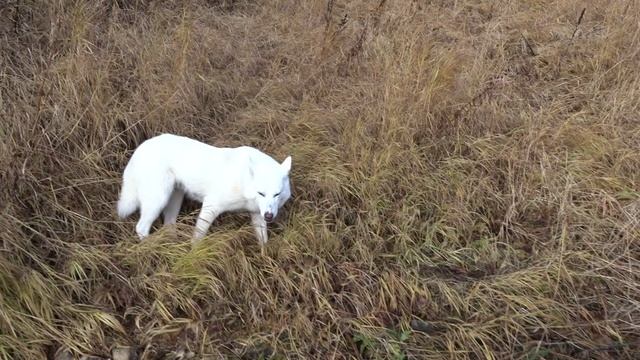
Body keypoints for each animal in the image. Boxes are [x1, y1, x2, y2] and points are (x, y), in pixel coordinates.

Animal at [116, 134, 292, 246]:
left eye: (277, 194)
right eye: (261, 193)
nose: (269, 216)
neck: (243, 182)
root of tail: (138, 150)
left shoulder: (257, 214)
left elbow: (263, 242)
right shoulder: (210, 206)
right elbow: (198, 237)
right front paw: (193, 255)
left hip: (174, 200)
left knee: (168, 226)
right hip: (158, 200)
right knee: (141, 228)